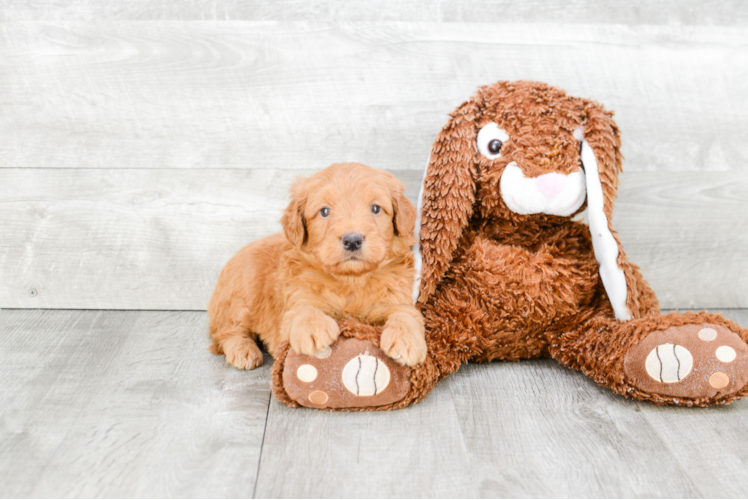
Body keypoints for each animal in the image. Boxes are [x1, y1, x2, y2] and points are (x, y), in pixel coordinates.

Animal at [207, 162, 426, 370]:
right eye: (324, 211)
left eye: (375, 208)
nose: (352, 240)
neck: (350, 280)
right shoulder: (293, 302)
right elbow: (304, 308)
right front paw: (313, 328)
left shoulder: (396, 297)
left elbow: (407, 313)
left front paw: (406, 340)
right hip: (239, 299)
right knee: (226, 332)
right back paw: (243, 351)